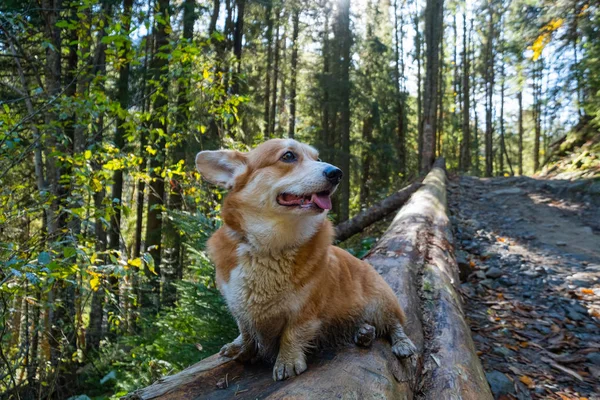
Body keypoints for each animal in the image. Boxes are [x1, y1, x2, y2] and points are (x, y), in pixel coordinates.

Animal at [195, 138, 414, 382]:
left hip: (381, 302)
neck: (270, 249)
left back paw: (401, 344)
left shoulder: (305, 310)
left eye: (317, 158)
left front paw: (287, 363)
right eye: (288, 156)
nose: (337, 173)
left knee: (395, 324)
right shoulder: (237, 305)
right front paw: (242, 347)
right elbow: (245, 330)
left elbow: (292, 334)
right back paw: (364, 333)